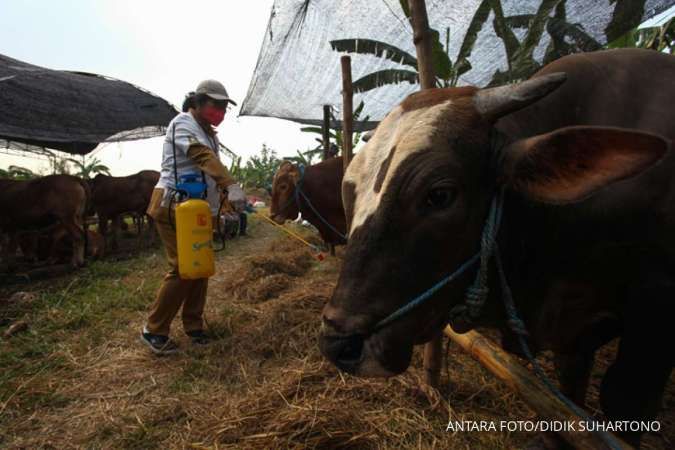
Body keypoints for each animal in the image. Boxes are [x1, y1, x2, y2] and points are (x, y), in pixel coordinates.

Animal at [320, 49, 675, 446]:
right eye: (349, 193)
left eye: (440, 194)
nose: (340, 344)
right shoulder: (573, 340)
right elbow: (568, 405)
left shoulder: (657, 305)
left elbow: (623, 400)